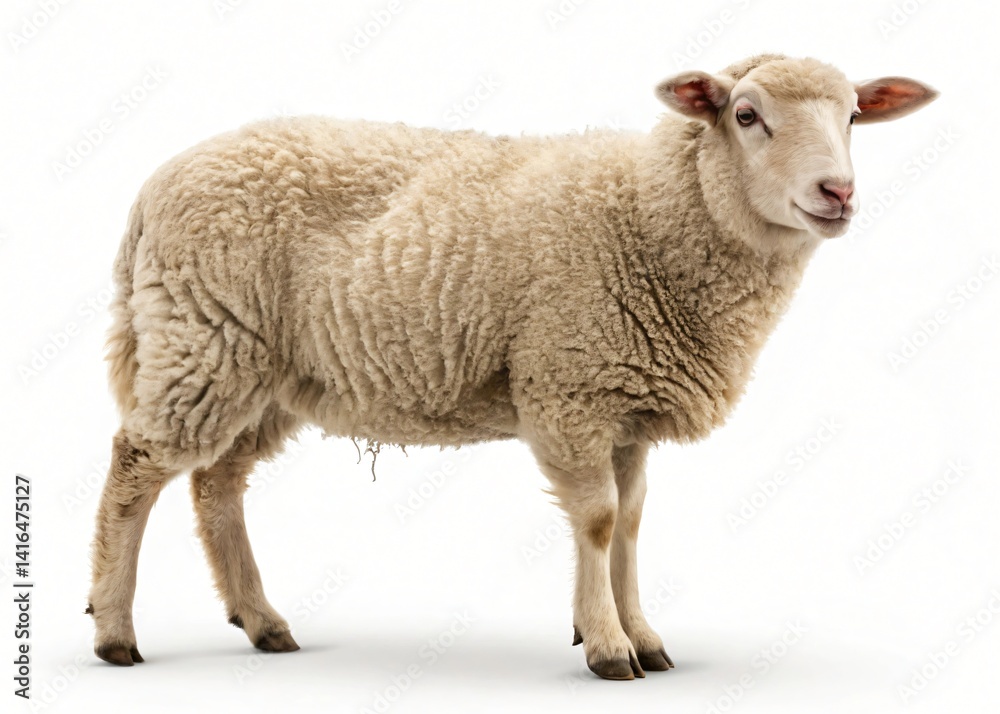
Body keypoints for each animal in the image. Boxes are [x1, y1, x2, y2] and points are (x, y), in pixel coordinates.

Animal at [87, 54, 938, 679]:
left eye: (853, 117)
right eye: (747, 115)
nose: (837, 192)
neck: (652, 215)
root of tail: (150, 192)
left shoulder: (625, 405)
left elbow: (631, 523)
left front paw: (643, 635)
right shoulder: (570, 387)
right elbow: (597, 522)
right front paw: (607, 647)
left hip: (260, 371)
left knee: (216, 484)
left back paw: (262, 622)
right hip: (203, 338)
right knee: (134, 468)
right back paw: (115, 631)